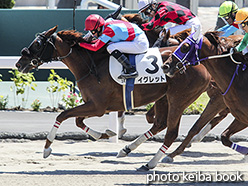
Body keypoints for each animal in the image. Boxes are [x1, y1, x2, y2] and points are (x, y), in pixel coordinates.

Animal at [14, 26, 210, 163]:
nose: (19, 63)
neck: (90, 66)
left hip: (178, 99)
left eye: (37, 44)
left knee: (171, 132)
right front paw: (106, 134)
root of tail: (201, 66)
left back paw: (150, 163)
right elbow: (78, 121)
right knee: (160, 124)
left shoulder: (97, 106)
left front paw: (47, 148)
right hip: (163, 97)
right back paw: (127, 149)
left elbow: (63, 115)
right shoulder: (94, 105)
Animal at [162, 28, 247, 165]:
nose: (165, 66)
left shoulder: (218, 101)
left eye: (185, 47)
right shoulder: (227, 106)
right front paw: (172, 154)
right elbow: (197, 127)